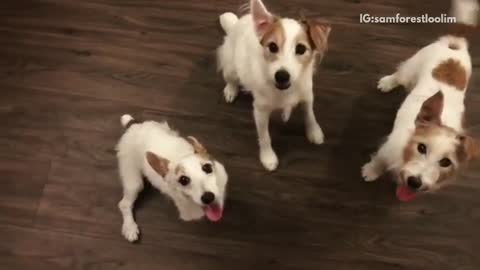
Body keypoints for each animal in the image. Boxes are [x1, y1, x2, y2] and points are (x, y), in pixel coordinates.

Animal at [217, 0, 330, 171]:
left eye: (301, 49)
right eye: (272, 47)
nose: (282, 76)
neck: (285, 91)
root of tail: (237, 24)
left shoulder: (307, 94)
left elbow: (309, 113)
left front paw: (314, 131)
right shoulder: (260, 111)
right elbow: (265, 137)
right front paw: (268, 157)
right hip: (231, 66)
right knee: (230, 78)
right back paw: (231, 90)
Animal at [362, 0, 478, 201]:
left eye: (445, 162)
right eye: (422, 148)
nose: (415, 182)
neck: (406, 153)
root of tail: (455, 43)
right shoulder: (387, 149)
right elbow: (379, 160)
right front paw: (371, 171)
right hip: (412, 66)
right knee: (400, 74)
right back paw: (387, 83)